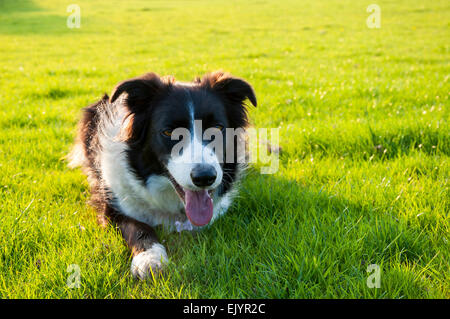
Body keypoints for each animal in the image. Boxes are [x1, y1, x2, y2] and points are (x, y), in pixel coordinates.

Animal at [67, 70, 256, 280]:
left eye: (217, 128)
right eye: (168, 132)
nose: (205, 177)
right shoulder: (113, 206)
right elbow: (138, 226)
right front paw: (150, 257)